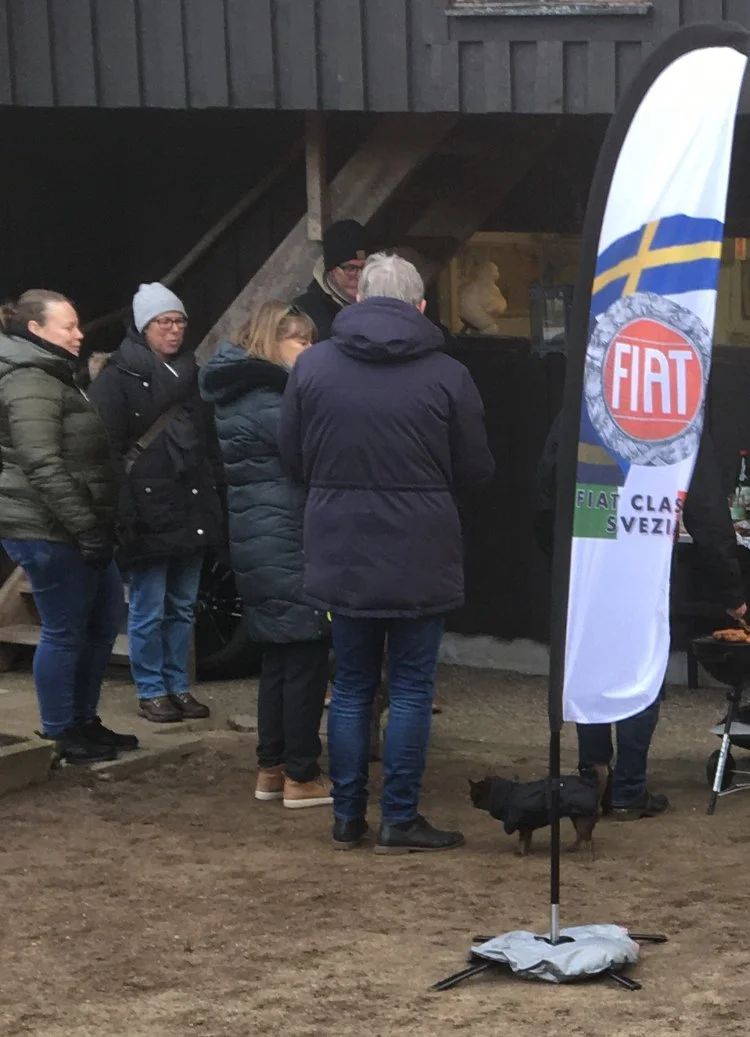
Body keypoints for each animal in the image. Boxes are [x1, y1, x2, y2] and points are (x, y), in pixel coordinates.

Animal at [469, 771, 602, 857]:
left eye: (475, 793)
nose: (472, 801)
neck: (508, 795)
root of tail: (594, 788)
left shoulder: (523, 826)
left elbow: (523, 841)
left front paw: (521, 853)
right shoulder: (526, 827)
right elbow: (526, 841)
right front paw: (526, 852)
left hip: (581, 821)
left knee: (588, 840)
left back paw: (587, 856)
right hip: (577, 819)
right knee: (581, 836)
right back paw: (573, 848)